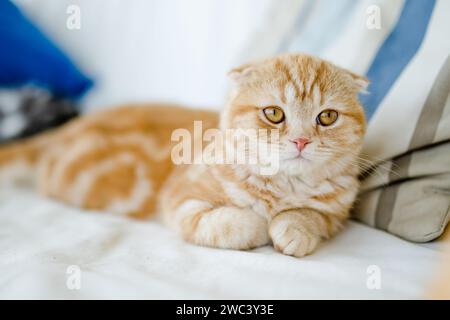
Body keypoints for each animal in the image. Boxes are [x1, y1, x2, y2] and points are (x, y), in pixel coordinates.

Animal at [0, 53, 368, 258]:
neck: (281, 187)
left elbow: (309, 216)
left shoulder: (336, 213)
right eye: (274, 114)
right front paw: (260, 224)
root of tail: (67, 128)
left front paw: (293, 228)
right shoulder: (181, 199)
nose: (301, 140)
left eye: (327, 117)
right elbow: (232, 222)